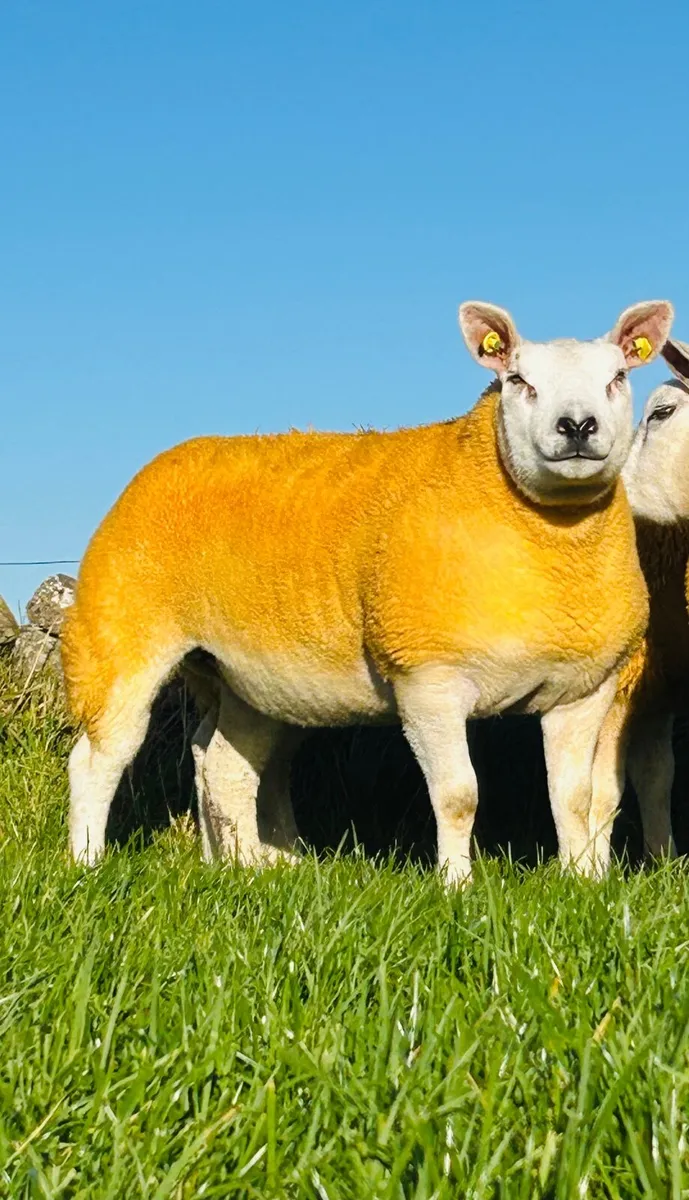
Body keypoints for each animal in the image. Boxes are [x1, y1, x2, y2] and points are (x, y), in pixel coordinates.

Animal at [61, 298, 673, 885]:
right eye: (518, 380)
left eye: (619, 376)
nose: (577, 426)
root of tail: (164, 461)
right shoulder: (427, 675)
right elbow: (458, 796)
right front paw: (457, 885)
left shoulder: (584, 684)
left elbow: (575, 798)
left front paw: (582, 882)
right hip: (119, 632)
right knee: (98, 758)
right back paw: (89, 862)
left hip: (245, 678)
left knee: (223, 767)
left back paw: (247, 868)